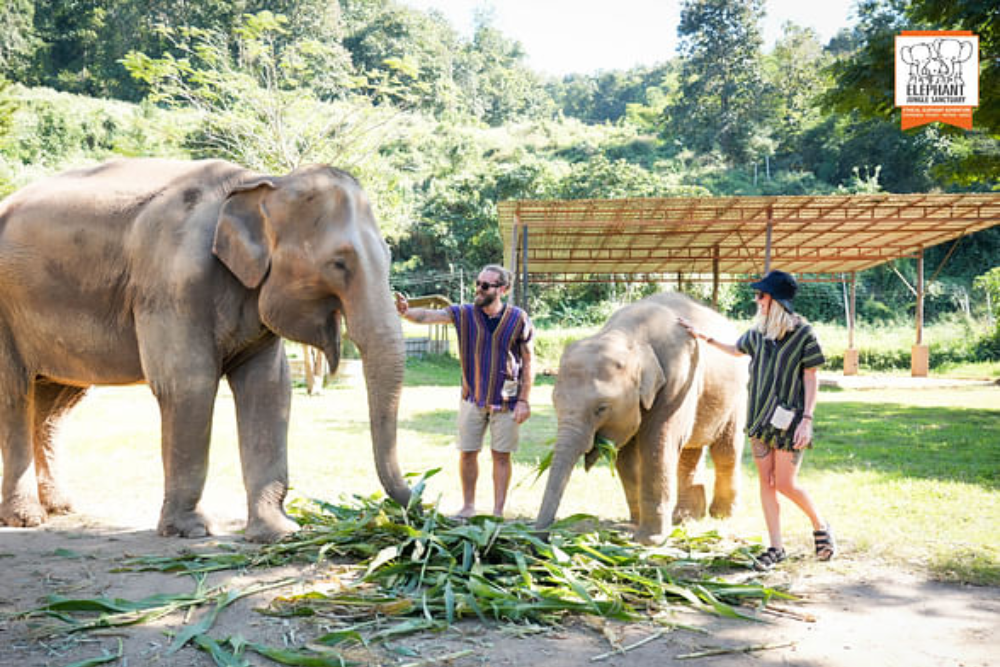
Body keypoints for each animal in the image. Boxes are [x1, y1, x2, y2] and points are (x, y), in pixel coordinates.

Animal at [0, 158, 410, 542]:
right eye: (339, 263)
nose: (413, 507)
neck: (260, 184)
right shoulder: (174, 284)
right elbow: (188, 385)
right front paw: (192, 530)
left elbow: (268, 388)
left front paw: (279, 533)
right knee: (16, 395)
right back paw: (27, 519)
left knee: (54, 403)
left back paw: (61, 508)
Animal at [535, 292, 748, 545]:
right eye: (555, 402)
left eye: (601, 408)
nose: (541, 542)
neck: (627, 335)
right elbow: (625, 457)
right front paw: (633, 527)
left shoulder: (677, 381)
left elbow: (658, 446)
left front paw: (649, 540)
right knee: (690, 452)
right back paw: (686, 518)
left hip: (738, 395)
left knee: (726, 450)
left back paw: (721, 516)